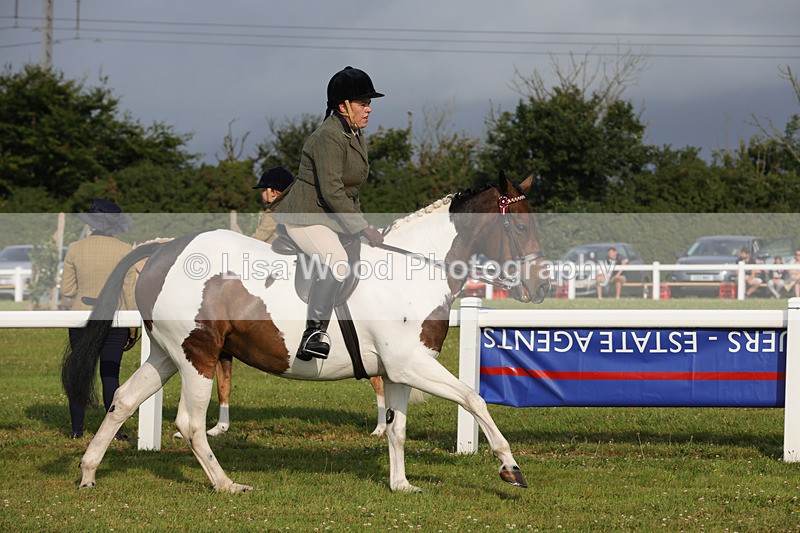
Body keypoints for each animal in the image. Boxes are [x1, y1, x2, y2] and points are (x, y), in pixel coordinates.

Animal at [61, 172, 550, 493]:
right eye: (520, 225)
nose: (542, 286)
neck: (415, 267)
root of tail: (164, 250)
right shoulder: (411, 365)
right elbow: (474, 398)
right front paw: (510, 467)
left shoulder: (398, 371)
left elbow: (397, 429)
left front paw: (400, 485)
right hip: (197, 355)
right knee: (189, 423)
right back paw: (227, 484)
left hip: (167, 354)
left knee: (123, 400)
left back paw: (88, 472)